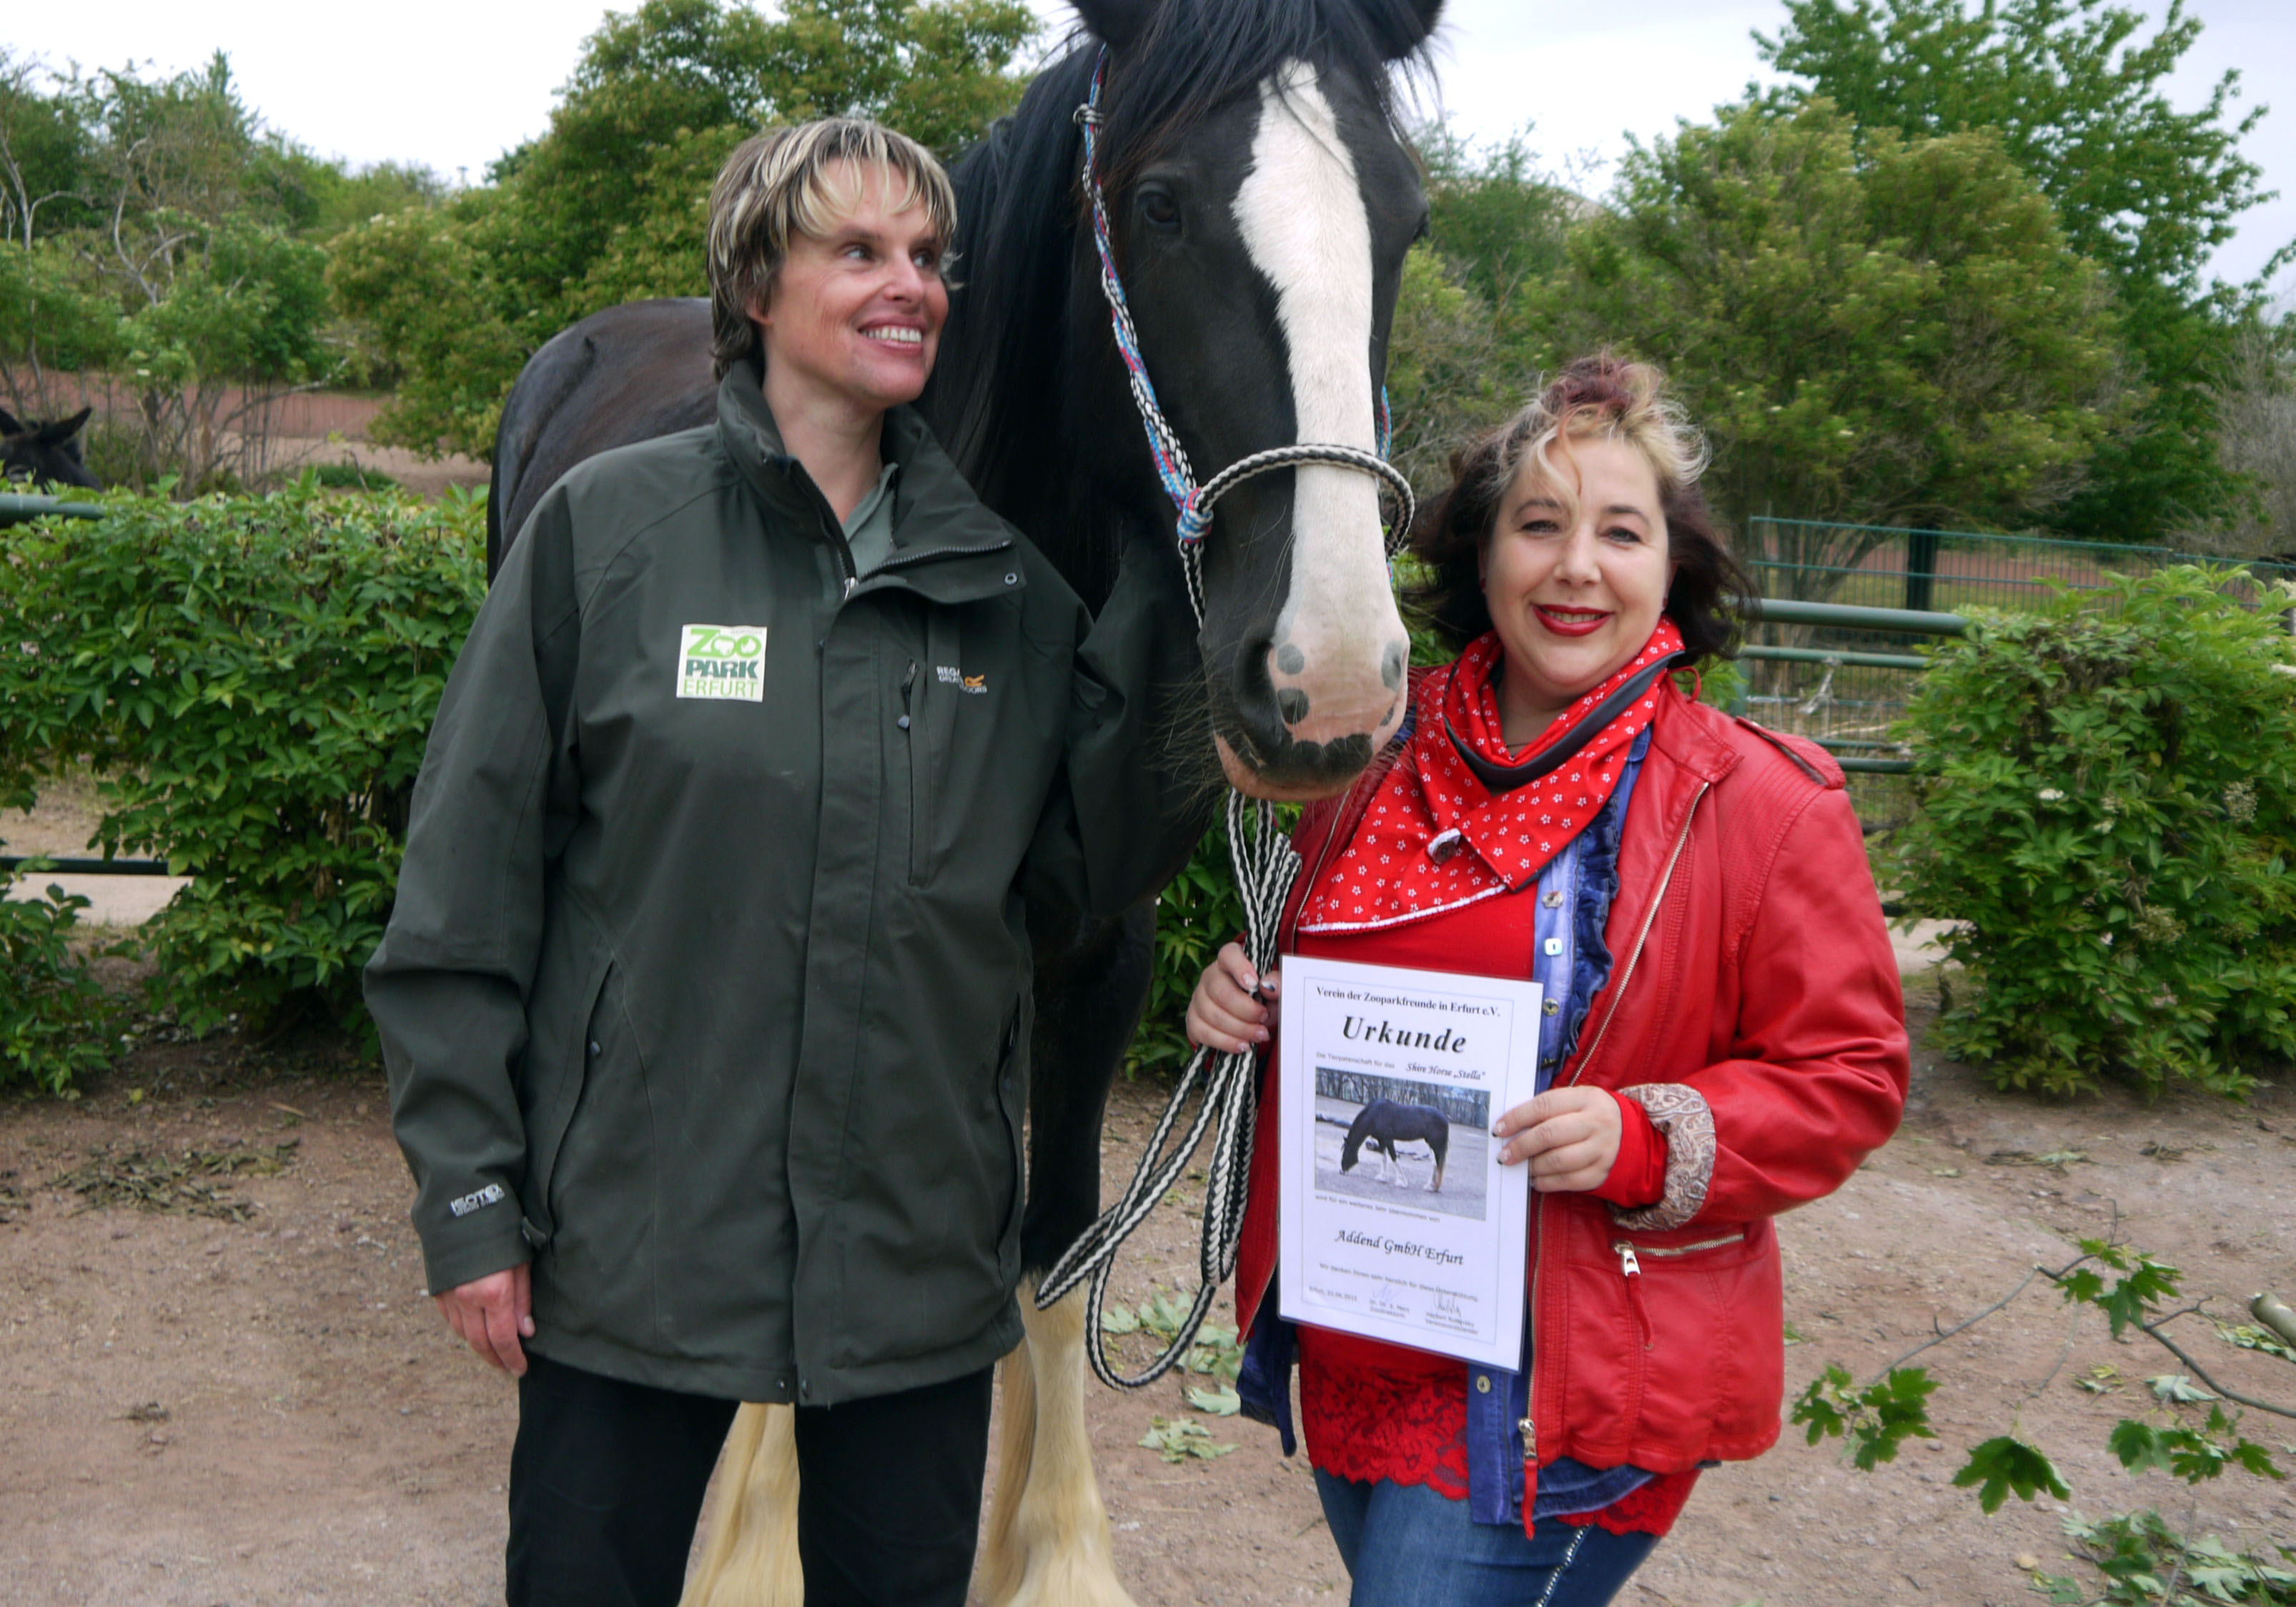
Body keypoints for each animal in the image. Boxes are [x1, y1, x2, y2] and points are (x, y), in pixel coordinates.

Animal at [1340, 1106, 1442, 1193]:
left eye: (1346, 1152)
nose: (1341, 1171)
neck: (1376, 1115)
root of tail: (1443, 1118)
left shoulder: (1388, 1140)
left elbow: (1394, 1158)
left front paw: (1402, 1183)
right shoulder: (1381, 1140)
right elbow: (1384, 1157)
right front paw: (1383, 1178)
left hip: (1435, 1145)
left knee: (1436, 1164)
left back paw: (1431, 1187)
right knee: (1435, 1164)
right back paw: (1431, 1186)